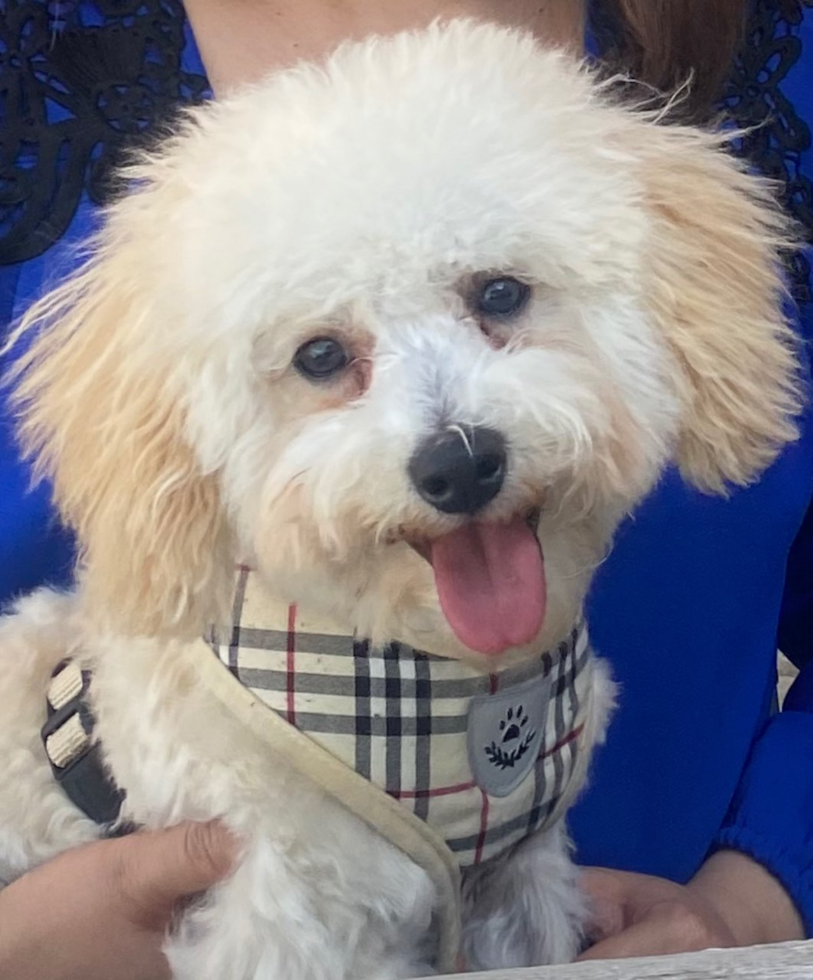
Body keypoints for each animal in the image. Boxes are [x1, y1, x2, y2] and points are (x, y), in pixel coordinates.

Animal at [0, 17, 800, 980]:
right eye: (318, 356)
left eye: (500, 292)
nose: (460, 465)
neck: (437, 672)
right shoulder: (288, 914)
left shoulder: (518, 877)